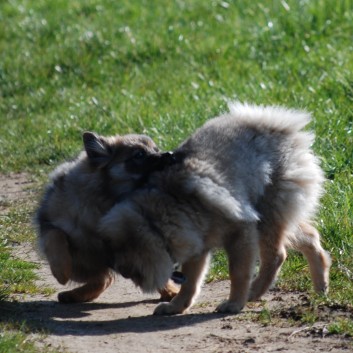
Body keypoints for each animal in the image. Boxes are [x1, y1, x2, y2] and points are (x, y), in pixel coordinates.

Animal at [35, 131, 179, 302]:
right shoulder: (48, 222)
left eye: (156, 149)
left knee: (106, 279)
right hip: (86, 260)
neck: (107, 197)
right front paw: (61, 272)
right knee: (103, 278)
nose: (170, 155)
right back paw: (72, 294)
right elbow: (56, 236)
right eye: (139, 154)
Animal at [99, 102, 330, 314]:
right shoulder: (197, 246)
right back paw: (321, 286)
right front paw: (176, 306)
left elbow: (237, 273)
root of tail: (279, 127)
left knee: (276, 255)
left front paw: (234, 303)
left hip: (267, 215)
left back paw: (254, 291)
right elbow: (191, 282)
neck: (174, 204)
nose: (122, 272)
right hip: (281, 214)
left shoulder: (241, 232)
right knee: (310, 236)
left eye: (131, 264)